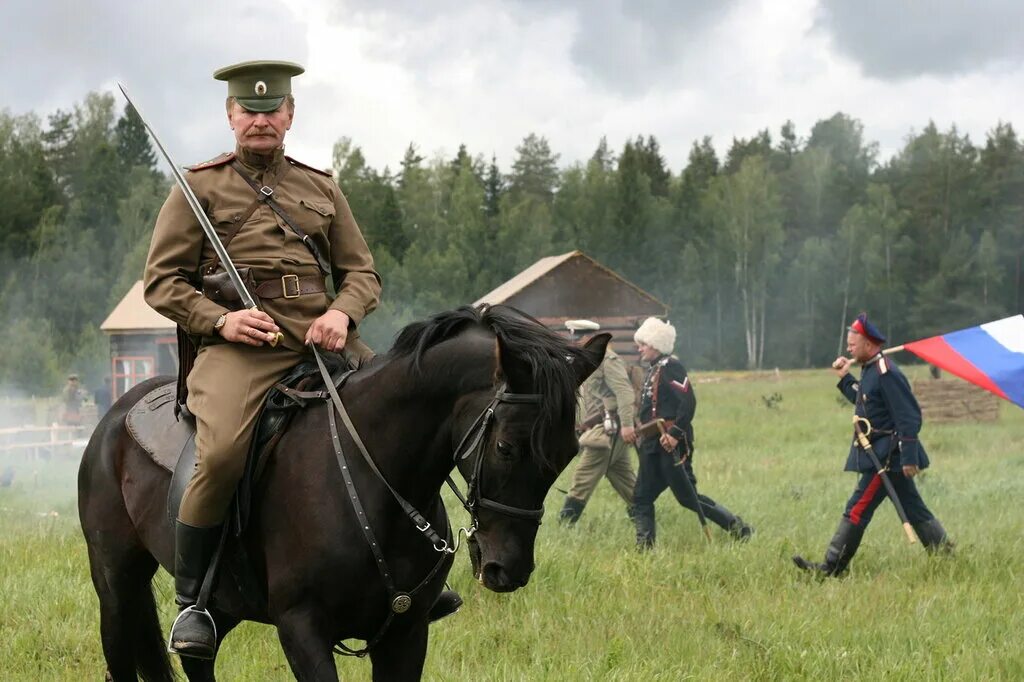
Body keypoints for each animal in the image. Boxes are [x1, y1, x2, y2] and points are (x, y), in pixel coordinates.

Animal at [81, 305, 606, 675]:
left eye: (568, 451)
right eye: (506, 446)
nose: (508, 569)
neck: (373, 481)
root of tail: (115, 414)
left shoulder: (406, 634)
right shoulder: (302, 628)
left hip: (223, 602)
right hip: (117, 586)